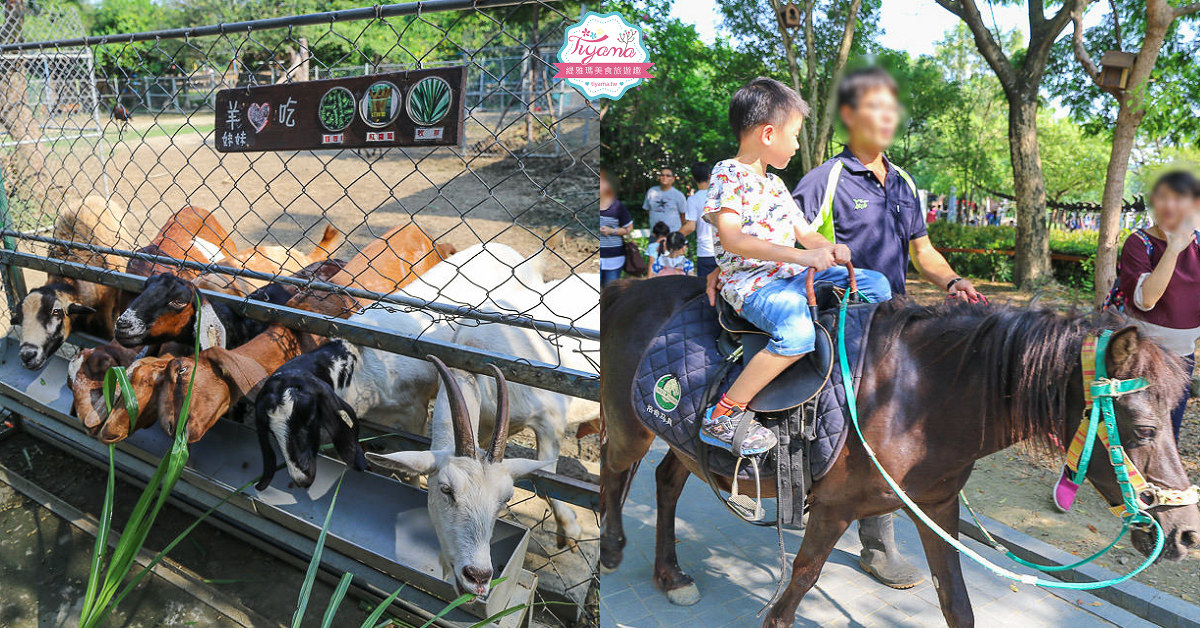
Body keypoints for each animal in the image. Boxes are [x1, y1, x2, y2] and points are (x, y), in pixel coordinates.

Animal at [600, 277, 1200, 628]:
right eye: (1144, 429)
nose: (1187, 534)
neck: (918, 399)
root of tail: (627, 288)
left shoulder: (936, 509)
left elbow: (956, 602)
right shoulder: (834, 508)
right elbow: (799, 584)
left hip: (686, 443)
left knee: (666, 482)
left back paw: (671, 574)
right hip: (630, 425)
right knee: (612, 474)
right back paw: (610, 551)